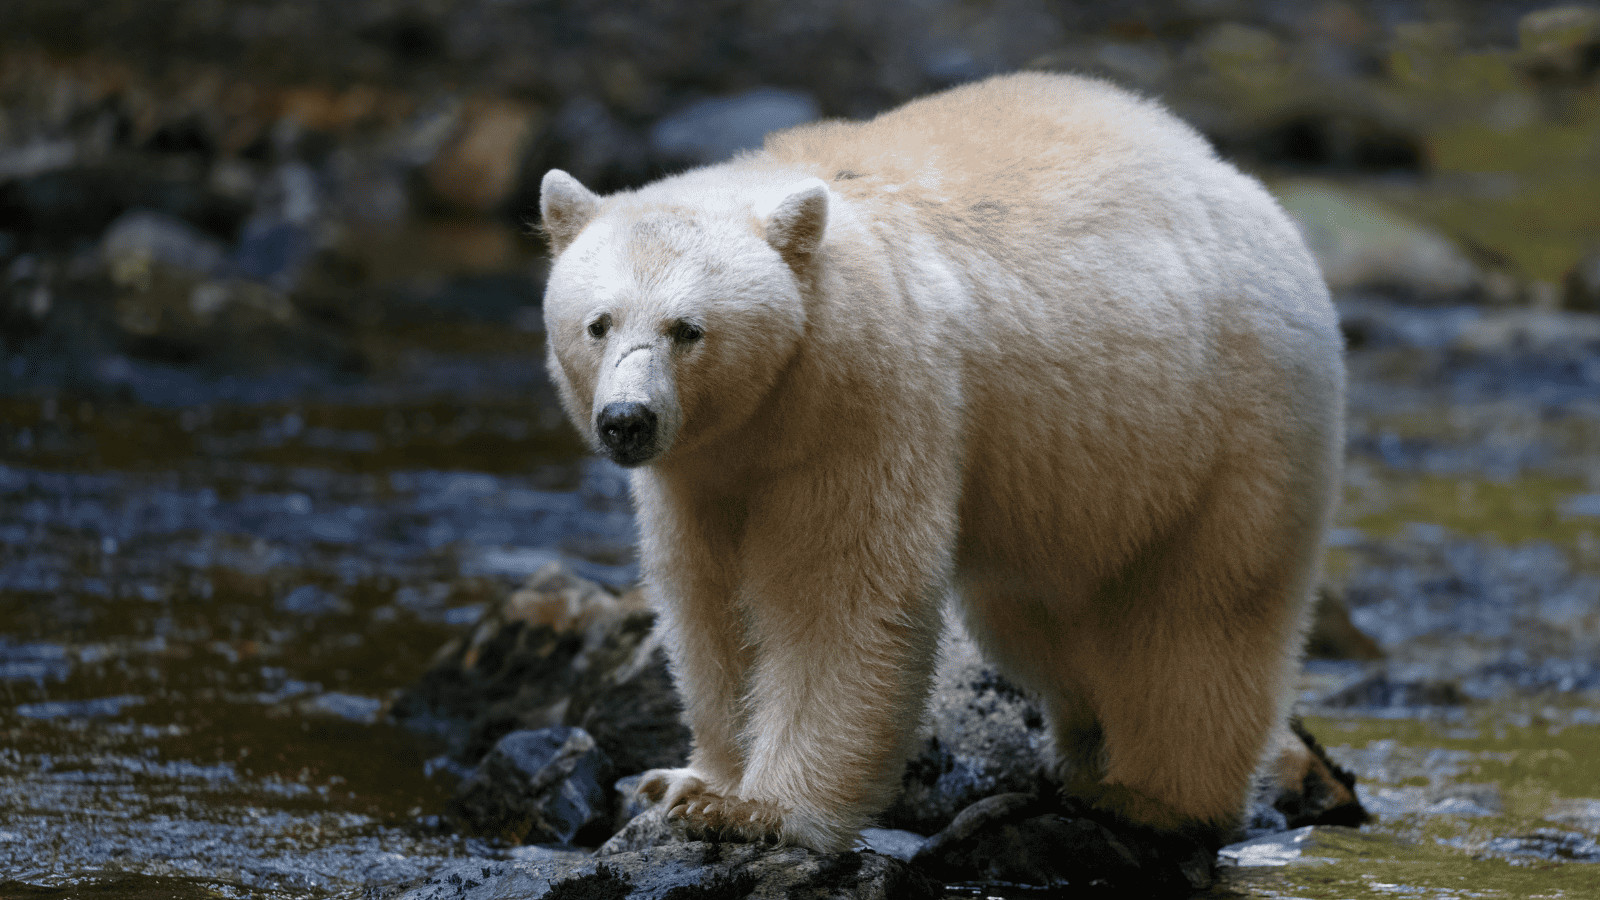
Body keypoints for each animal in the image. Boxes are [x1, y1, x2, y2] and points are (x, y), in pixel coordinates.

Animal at [537, 71, 1345, 854]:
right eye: (598, 323)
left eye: (688, 329)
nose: (627, 421)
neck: (767, 415)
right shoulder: (699, 470)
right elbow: (706, 598)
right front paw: (687, 781)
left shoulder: (866, 402)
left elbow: (838, 594)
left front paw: (757, 810)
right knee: (1040, 621)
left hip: (1227, 425)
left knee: (1198, 616)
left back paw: (1153, 798)